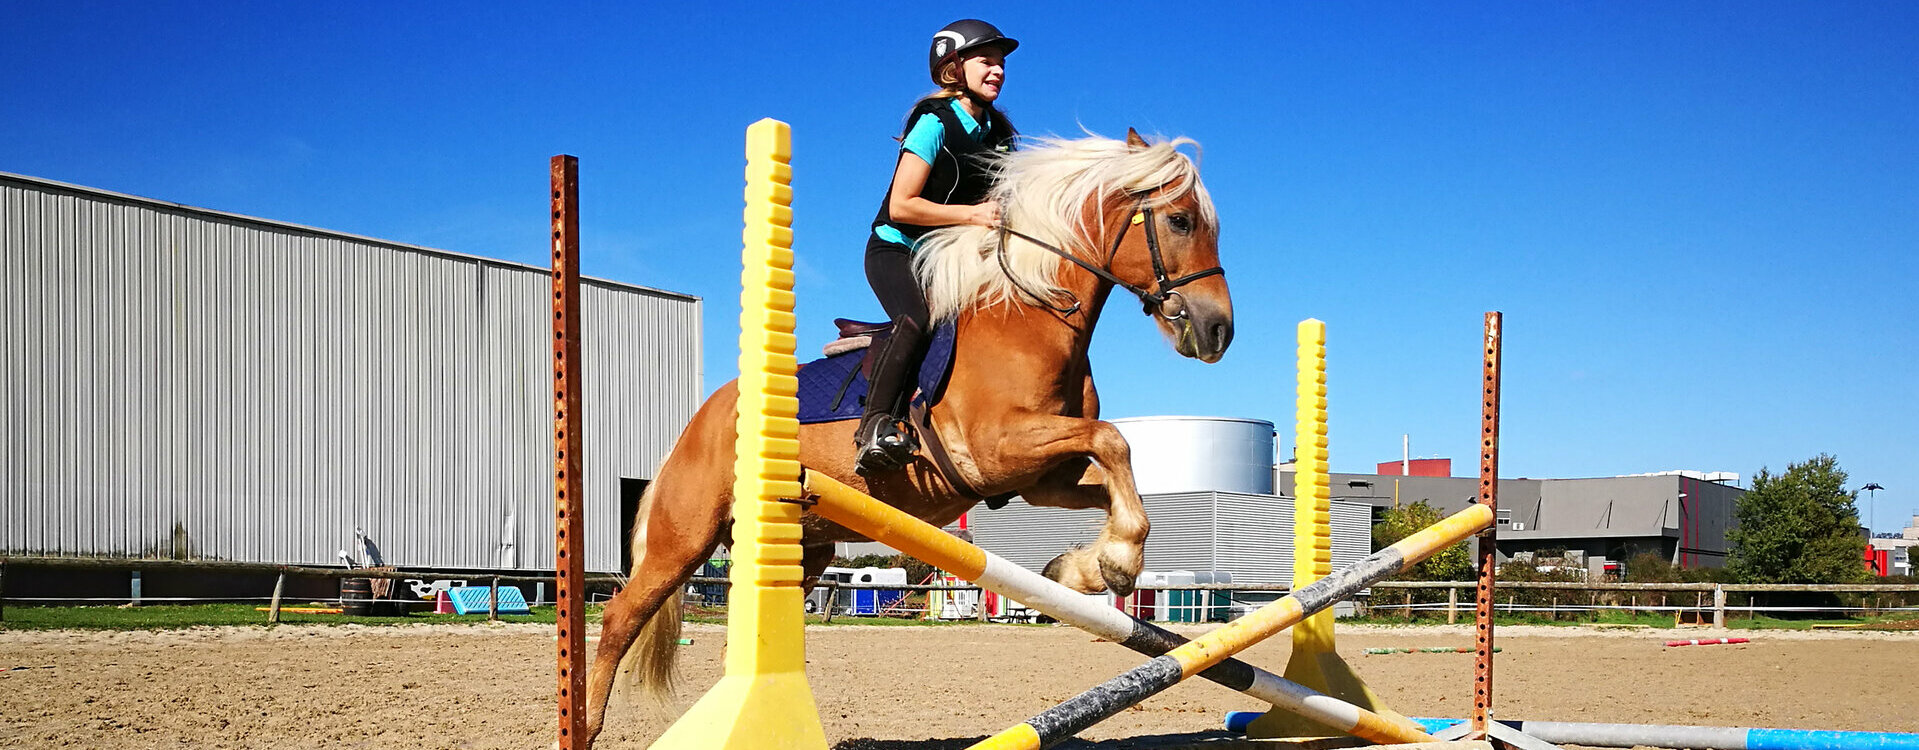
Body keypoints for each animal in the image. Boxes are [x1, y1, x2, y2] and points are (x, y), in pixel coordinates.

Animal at [583, 129, 1235, 744]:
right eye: (1180, 220)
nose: (1218, 331)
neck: (1030, 314)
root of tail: (694, 425)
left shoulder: (1041, 477)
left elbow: (1111, 473)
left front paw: (1083, 570)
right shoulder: (996, 452)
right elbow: (1113, 439)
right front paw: (1118, 564)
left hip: (804, 549)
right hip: (684, 541)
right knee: (618, 618)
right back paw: (585, 725)